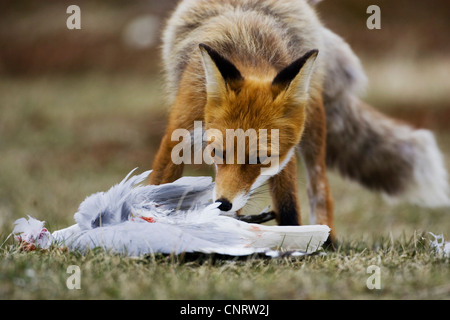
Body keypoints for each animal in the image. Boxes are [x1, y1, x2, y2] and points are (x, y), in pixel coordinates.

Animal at [149, 0, 448, 242]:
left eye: (260, 159)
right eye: (216, 152)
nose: (222, 204)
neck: (247, 46)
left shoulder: (283, 157)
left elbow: (289, 203)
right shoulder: (183, 124)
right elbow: (158, 183)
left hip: (312, 124)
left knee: (320, 191)